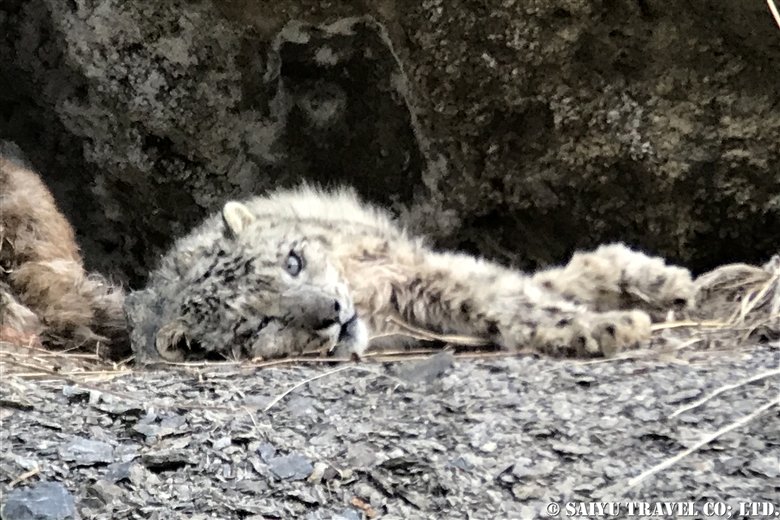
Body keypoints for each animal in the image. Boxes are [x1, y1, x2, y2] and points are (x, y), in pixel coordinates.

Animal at [126, 186, 696, 362]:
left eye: (293, 261)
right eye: (257, 325)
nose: (335, 313)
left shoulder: (407, 268)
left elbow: (503, 292)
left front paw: (618, 313)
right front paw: (606, 327)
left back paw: (658, 278)